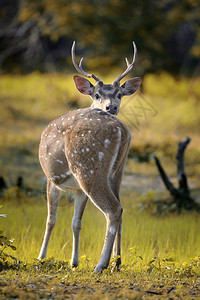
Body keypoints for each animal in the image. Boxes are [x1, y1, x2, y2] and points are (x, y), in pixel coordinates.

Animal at [38, 41, 141, 274]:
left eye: (120, 94)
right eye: (96, 94)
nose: (111, 107)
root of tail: (121, 129)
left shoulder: (51, 180)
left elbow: (50, 220)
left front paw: (40, 258)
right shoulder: (77, 190)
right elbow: (76, 223)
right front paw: (73, 262)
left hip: (88, 167)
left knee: (114, 209)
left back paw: (101, 265)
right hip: (117, 171)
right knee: (121, 209)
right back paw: (117, 262)